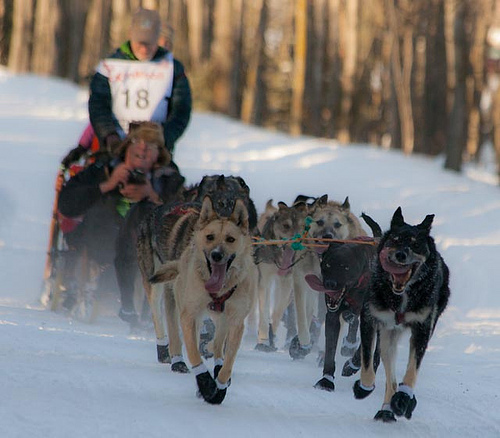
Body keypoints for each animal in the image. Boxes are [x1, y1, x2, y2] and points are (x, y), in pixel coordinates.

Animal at [150, 197, 256, 406]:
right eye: (210, 237)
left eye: (230, 239)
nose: (216, 254)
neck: (220, 289)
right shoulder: (189, 315)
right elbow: (193, 352)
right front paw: (205, 384)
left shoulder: (236, 322)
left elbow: (228, 361)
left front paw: (220, 386)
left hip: (222, 319)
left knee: (218, 345)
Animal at [352, 207, 454, 422]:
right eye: (395, 239)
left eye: (415, 244)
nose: (400, 255)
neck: (401, 295)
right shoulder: (370, 319)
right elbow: (367, 361)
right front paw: (364, 387)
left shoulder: (422, 329)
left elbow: (412, 370)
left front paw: (405, 397)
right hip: (388, 335)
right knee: (389, 375)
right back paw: (386, 408)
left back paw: (400, 402)